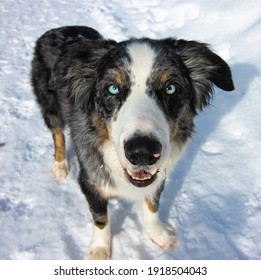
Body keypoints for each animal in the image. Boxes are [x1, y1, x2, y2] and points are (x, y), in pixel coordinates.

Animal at [31, 25, 234, 260]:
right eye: (112, 89)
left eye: (171, 88)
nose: (143, 152)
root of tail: (60, 28)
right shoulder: (90, 180)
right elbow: (100, 217)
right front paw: (100, 250)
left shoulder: (158, 177)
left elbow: (152, 204)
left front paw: (158, 233)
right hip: (50, 106)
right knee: (57, 134)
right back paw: (60, 165)